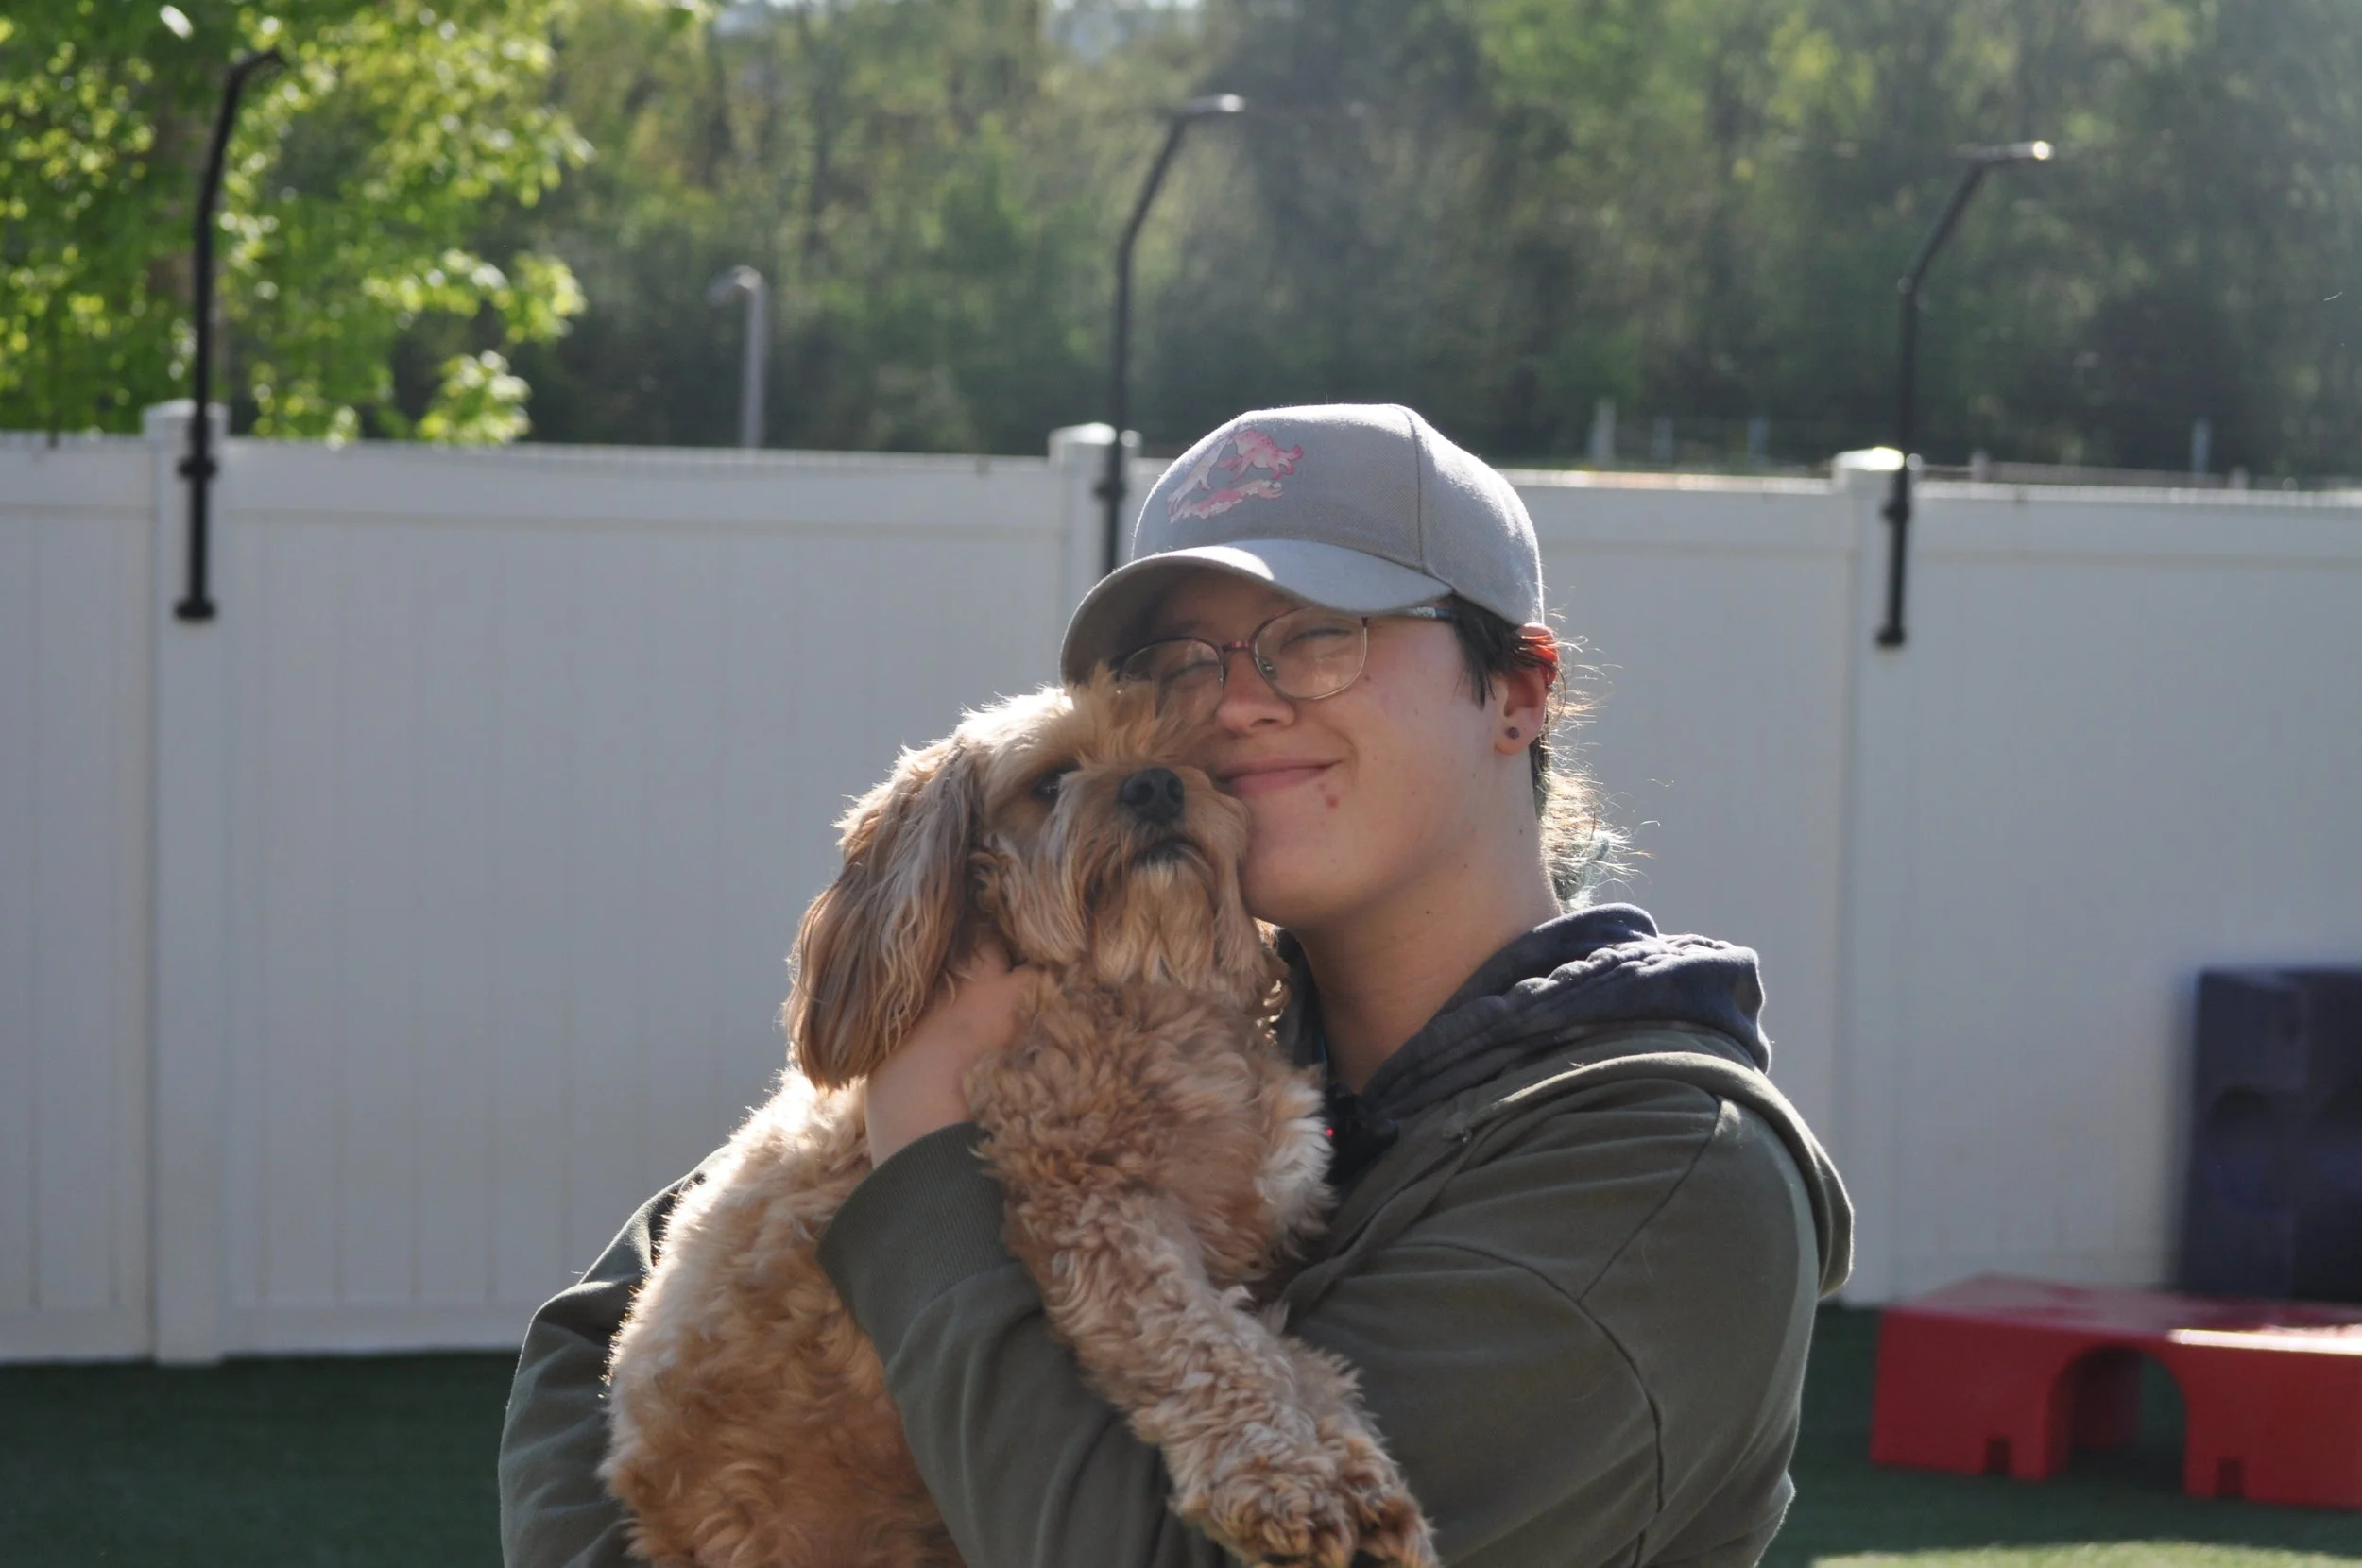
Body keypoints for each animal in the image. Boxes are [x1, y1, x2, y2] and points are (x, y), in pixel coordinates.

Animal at [600, 676, 1435, 1568]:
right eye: (1050, 780)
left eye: (1193, 761)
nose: (1155, 784)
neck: (1136, 980)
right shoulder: (1095, 1210)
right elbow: (1210, 1348)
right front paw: (1288, 1482)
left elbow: (1291, 1353)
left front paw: (1356, 1475)